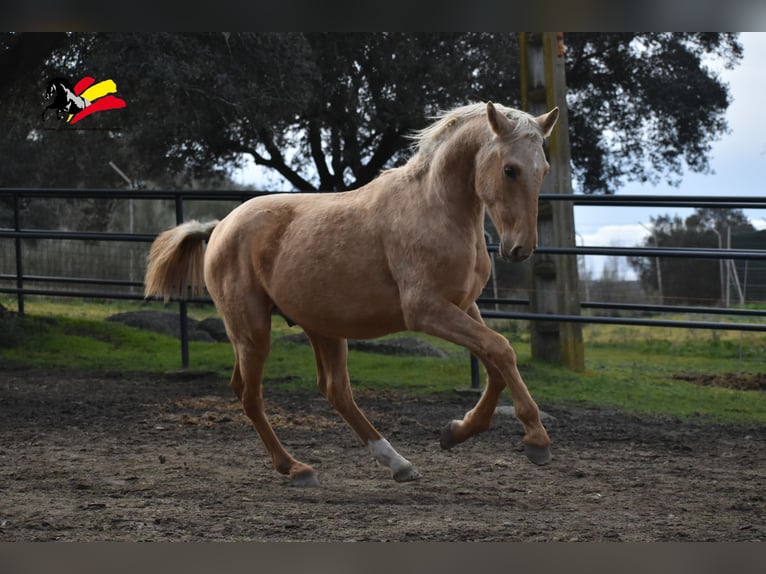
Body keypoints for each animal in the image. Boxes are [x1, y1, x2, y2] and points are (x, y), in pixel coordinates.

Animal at [147, 102, 560, 486]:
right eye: (510, 169)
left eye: (544, 170)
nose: (520, 249)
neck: (435, 208)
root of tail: (219, 227)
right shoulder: (426, 310)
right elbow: (502, 350)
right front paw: (536, 440)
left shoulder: (464, 306)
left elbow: (495, 365)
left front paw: (456, 432)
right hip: (253, 330)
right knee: (250, 394)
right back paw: (296, 468)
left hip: (322, 329)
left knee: (334, 391)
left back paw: (398, 464)